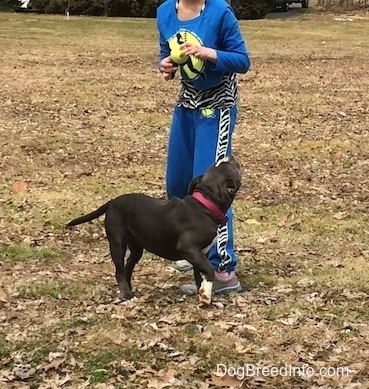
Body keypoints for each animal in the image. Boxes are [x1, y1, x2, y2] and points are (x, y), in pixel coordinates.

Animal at [67, 155, 240, 304]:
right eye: (233, 165)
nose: (230, 156)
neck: (206, 205)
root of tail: (112, 202)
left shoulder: (200, 254)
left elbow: (200, 275)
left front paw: (203, 293)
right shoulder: (189, 249)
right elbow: (209, 269)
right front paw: (206, 296)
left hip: (136, 247)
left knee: (127, 267)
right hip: (117, 243)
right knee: (119, 271)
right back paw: (127, 295)